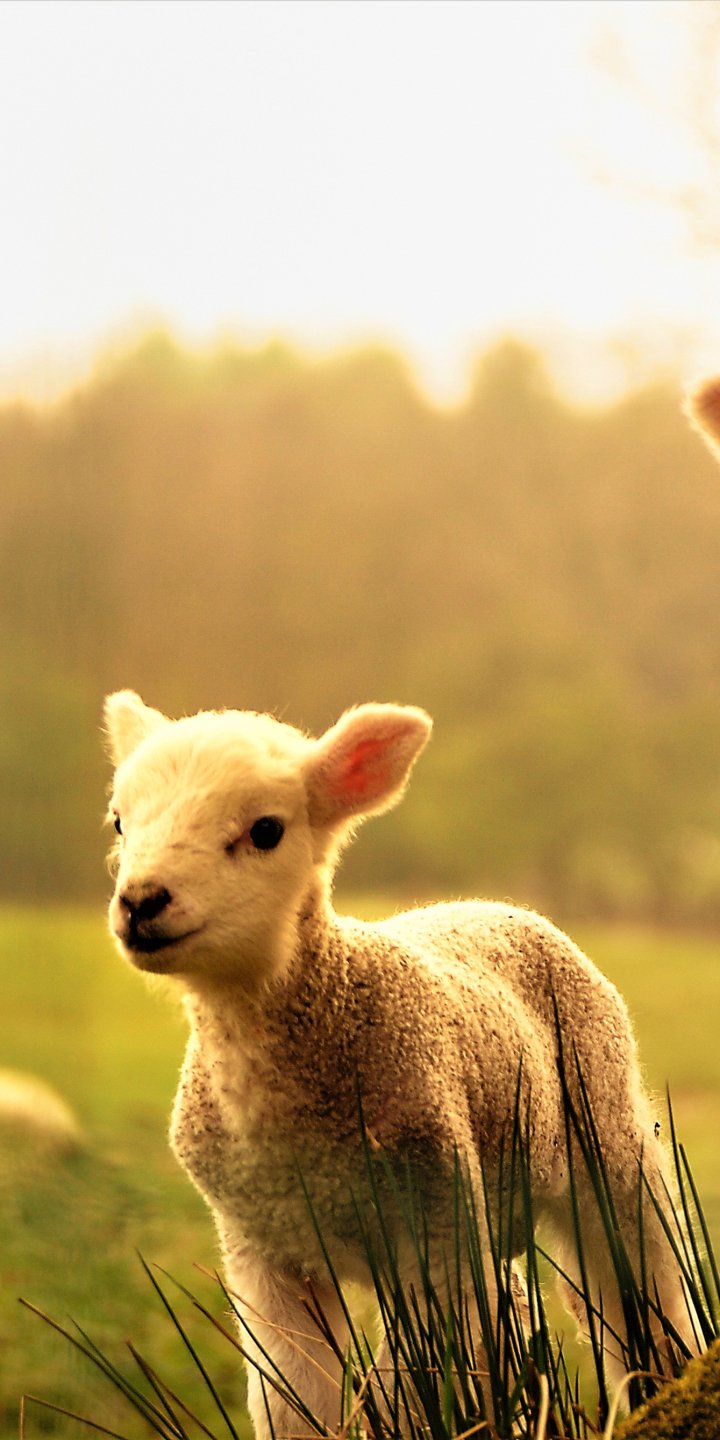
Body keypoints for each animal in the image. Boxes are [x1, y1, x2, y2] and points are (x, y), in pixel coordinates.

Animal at [104, 690, 696, 1438]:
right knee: (514, 1303)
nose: (141, 903)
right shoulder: (264, 1251)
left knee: (642, 1292)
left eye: (265, 830)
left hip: (606, 1132)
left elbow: (414, 1392)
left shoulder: (434, 1227)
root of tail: (495, 903)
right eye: (119, 822)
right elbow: (293, 1400)